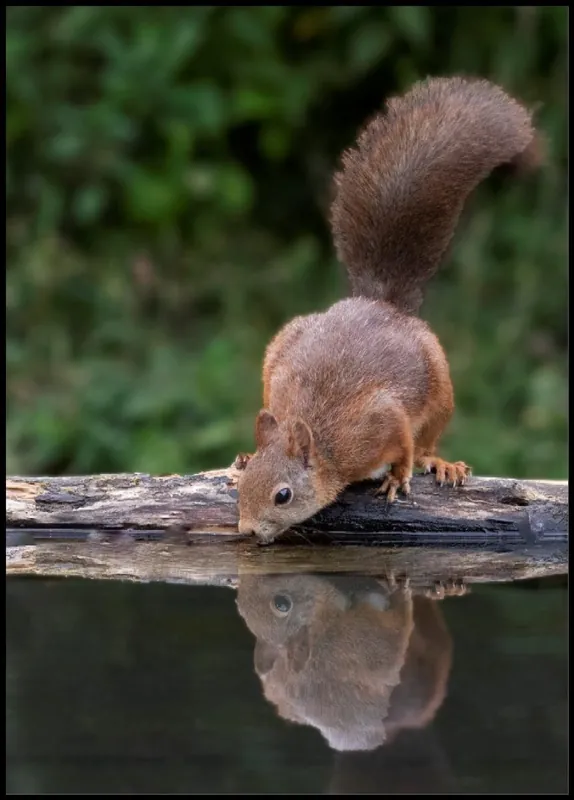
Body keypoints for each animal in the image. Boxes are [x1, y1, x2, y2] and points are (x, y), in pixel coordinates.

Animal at [235, 76, 541, 543]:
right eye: (245, 490)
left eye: (282, 496)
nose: (247, 531)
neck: (323, 443)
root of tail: (379, 302)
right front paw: (242, 462)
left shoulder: (379, 420)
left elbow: (404, 444)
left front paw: (399, 476)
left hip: (441, 387)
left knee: (427, 440)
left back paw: (440, 463)